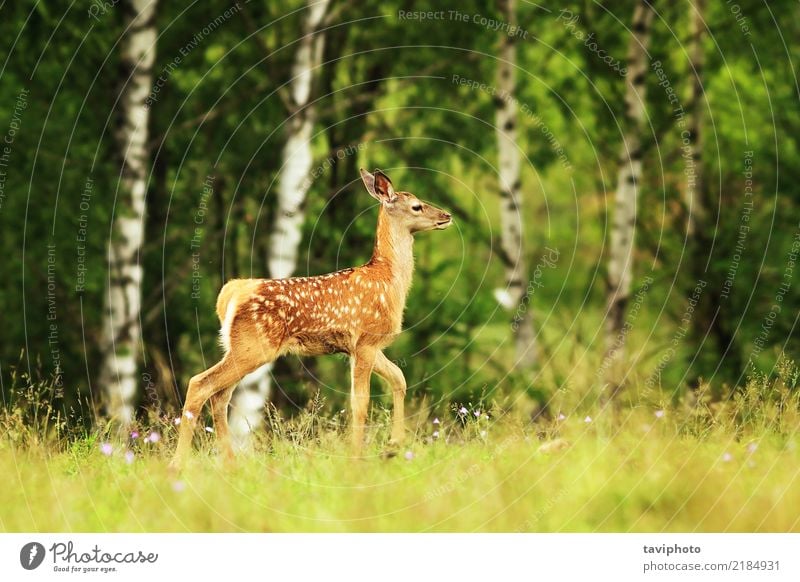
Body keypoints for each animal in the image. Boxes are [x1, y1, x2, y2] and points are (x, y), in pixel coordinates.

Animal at [170, 168, 454, 470]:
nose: (446, 215)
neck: (388, 279)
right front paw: (356, 460)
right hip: (253, 346)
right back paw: (177, 465)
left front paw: (393, 446)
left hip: (238, 347)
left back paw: (231, 464)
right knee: (200, 384)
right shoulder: (365, 340)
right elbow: (360, 403)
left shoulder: (361, 346)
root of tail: (230, 293)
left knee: (220, 396)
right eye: (417, 206)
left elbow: (399, 378)